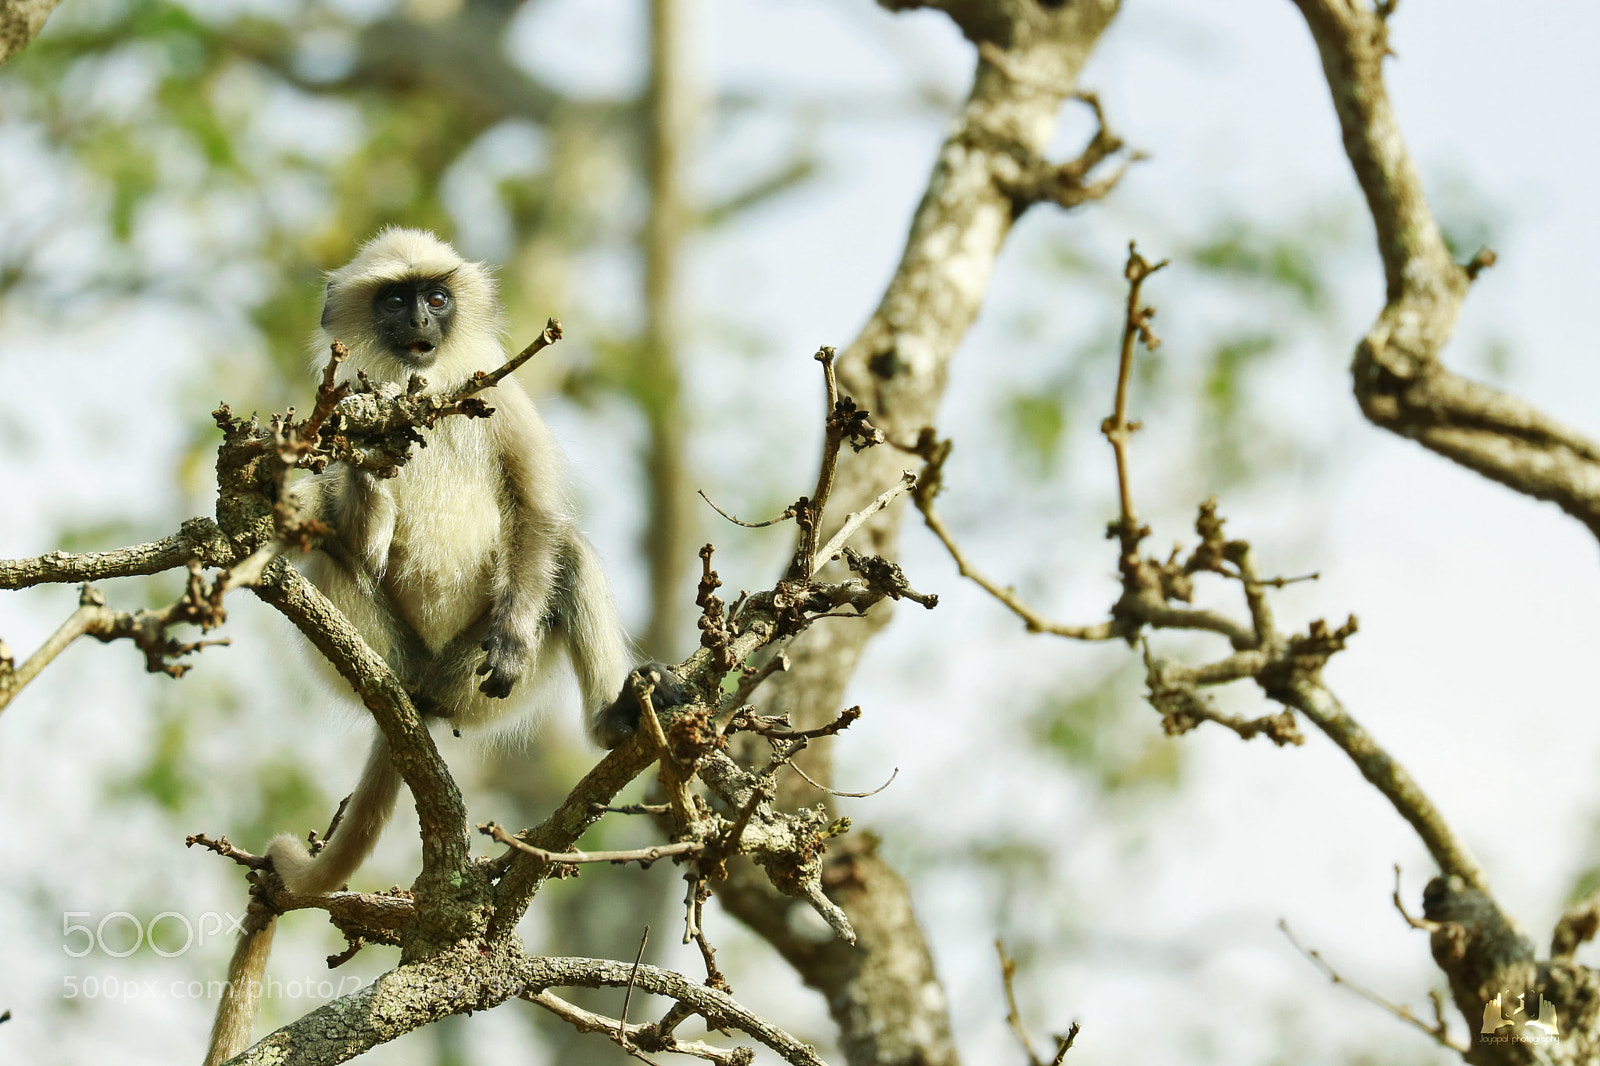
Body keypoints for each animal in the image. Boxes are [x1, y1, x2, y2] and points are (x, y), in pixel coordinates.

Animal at [205, 229, 683, 1065]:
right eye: (396, 299)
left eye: (435, 296)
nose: (421, 323)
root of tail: (423, 692)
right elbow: (343, 506)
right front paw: (371, 456)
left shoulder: (499, 387)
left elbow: (538, 512)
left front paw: (521, 643)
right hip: (399, 649)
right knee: (330, 543)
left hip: (472, 671)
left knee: (565, 550)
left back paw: (617, 717)